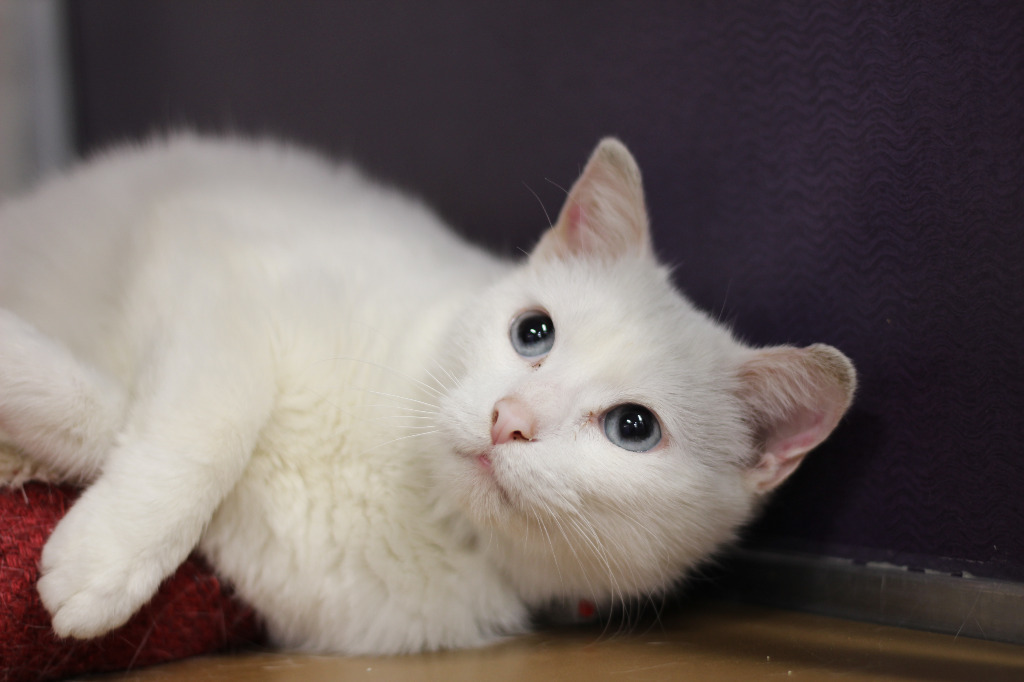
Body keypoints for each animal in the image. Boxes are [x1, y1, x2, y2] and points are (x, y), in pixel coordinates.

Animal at [0, 134, 856, 655]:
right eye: (533, 332)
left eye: (633, 427)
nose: (510, 420)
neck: (416, 497)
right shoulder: (210, 269)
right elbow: (203, 428)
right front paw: (107, 559)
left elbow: (112, 418)